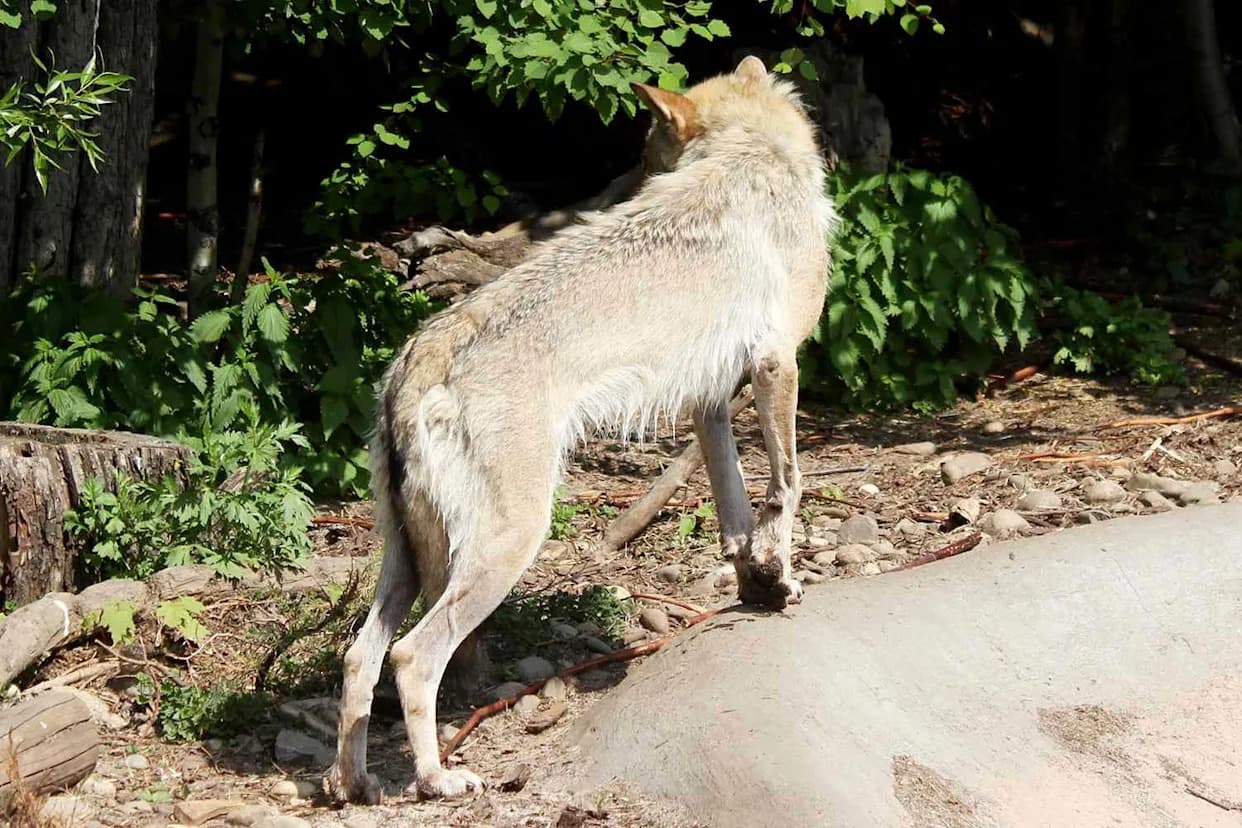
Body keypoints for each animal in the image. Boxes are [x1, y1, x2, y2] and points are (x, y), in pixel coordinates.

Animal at [325, 55, 837, 804]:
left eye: (645, 155)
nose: (612, 192)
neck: (752, 155)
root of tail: (424, 353)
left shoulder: (709, 403)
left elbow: (736, 513)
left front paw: (758, 588)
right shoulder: (777, 364)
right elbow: (787, 489)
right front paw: (780, 577)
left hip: (408, 560)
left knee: (359, 656)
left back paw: (351, 784)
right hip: (509, 545)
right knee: (412, 655)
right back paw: (438, 779)